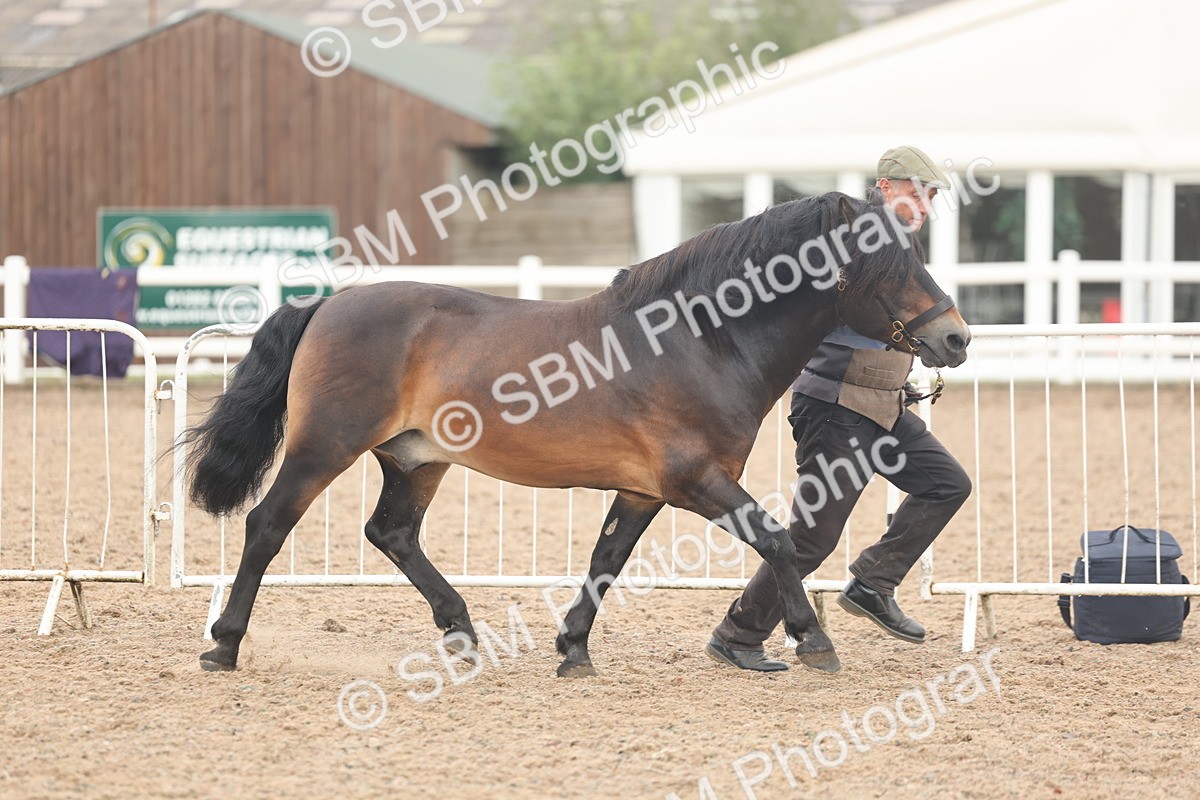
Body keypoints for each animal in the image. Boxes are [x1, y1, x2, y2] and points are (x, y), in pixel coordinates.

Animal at [182, 192, 970, 676]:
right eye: (889, 265)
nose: (956, 338)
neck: (699, 339)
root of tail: (325, 304)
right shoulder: (697, 481)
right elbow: (777, 541)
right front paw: (813, 641)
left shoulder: (644, 491)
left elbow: (606, 561)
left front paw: (573, 649)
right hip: (324, 447)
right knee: (268, 524)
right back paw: (224, 645)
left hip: (417, 458)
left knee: (392, 533)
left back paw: (461, 629)